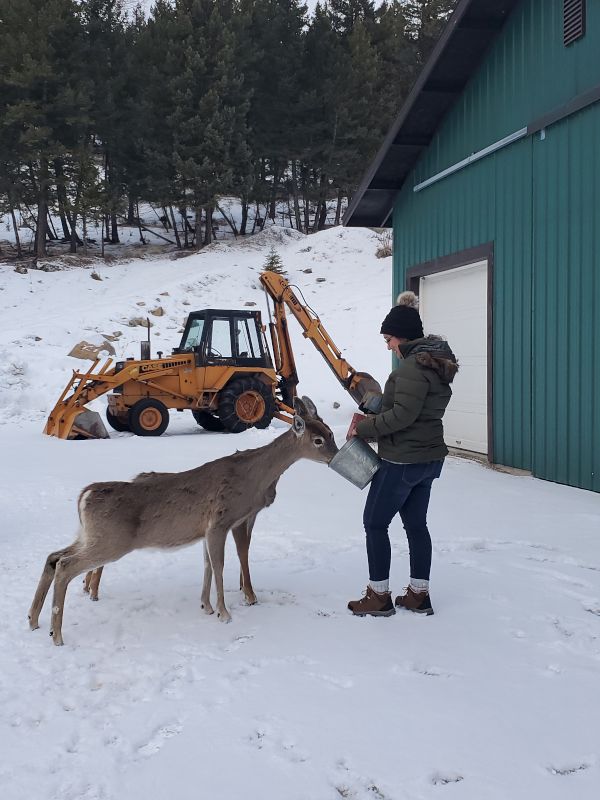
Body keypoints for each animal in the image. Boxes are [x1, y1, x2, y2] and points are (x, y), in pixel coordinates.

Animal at [29, 396, 338, 648]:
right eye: (318, 440)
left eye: (331, 432)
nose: (335, 456)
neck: (254, 476)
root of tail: (85, 496)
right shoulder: (221, 520)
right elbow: (220, 565)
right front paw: (225, 613)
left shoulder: (207, 528)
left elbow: (207, 565)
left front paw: (206, 607)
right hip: (110, 541)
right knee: (65, 566)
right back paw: (57, 635)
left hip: (88, 535)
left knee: (53, 556)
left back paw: (33, 620)